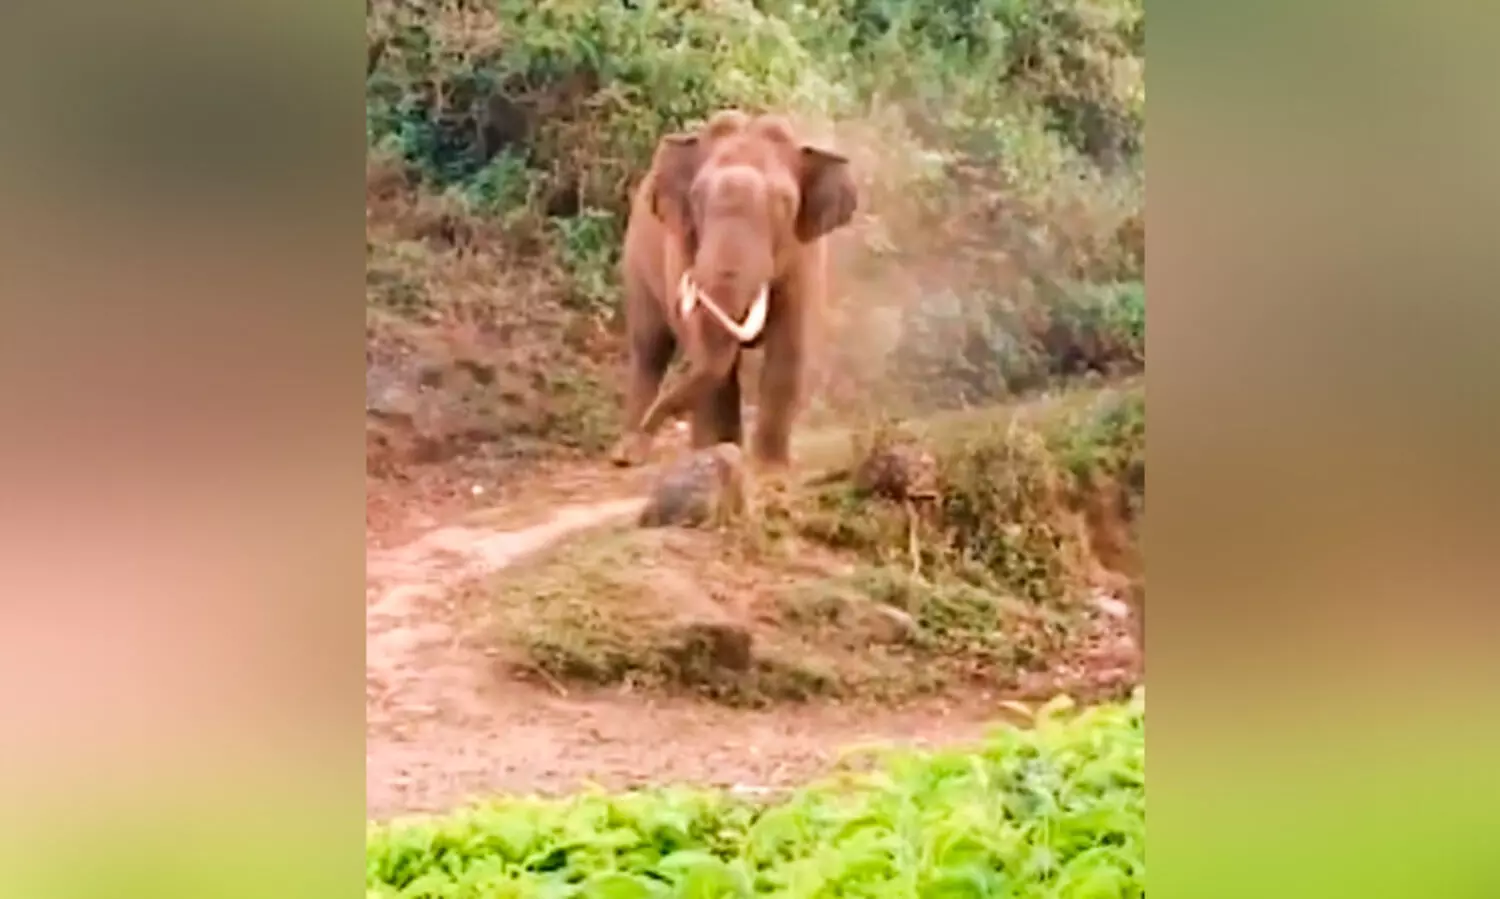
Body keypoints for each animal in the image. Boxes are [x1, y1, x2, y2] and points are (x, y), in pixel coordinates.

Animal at [608, 109, 858, 471]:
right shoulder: (681, 244)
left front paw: (769, 468)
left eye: (785, 203)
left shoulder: (805, 256)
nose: (648, 428)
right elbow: (708, 353)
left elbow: (789, 346)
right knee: (649, 349)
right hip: (635, 261)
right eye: (696, 197)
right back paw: (636, 452)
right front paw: (717, 453)